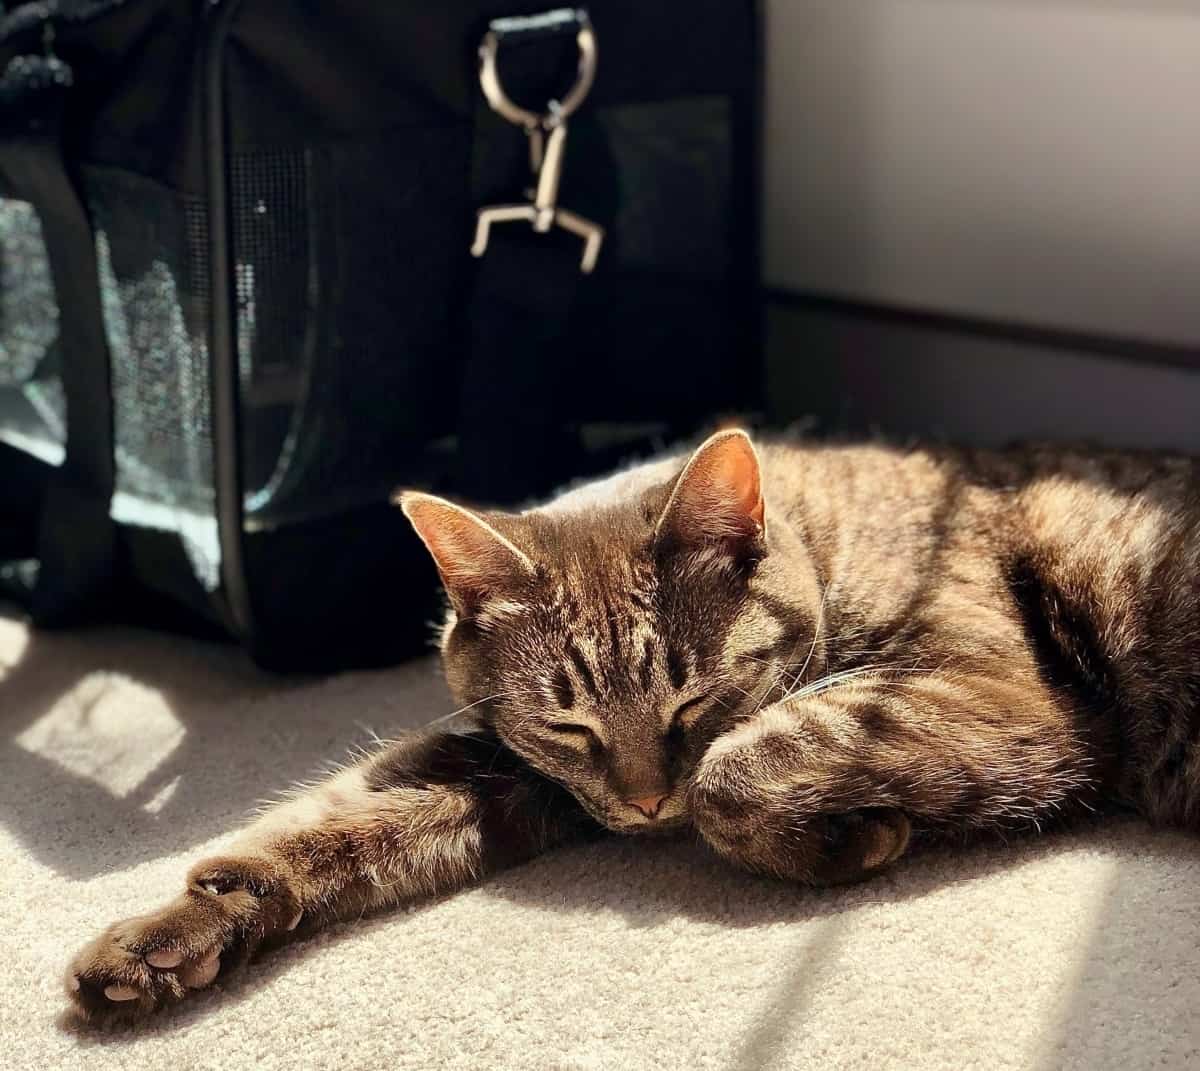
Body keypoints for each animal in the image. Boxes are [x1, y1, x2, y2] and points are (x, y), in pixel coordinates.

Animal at [63, 425, 1200, 1022]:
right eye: (570, 728)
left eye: (693, 699)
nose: (649, 804)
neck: (821, 535)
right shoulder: (507, 768)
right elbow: (311, 829)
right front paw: (174, 927)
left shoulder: (1000, 691)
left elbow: (743, 765)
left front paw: (849, 837)